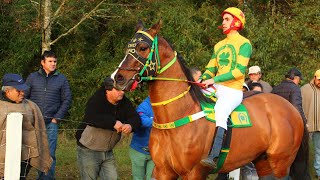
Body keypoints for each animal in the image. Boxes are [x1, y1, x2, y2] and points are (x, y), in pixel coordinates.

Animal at [112, 20, 308, 180]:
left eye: (143, 47)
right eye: (127, 47)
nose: (118, 78)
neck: (177, 116)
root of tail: (291, 108)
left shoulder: (194, 173)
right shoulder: (163, 171)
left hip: (280, 163)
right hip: (263, 162)